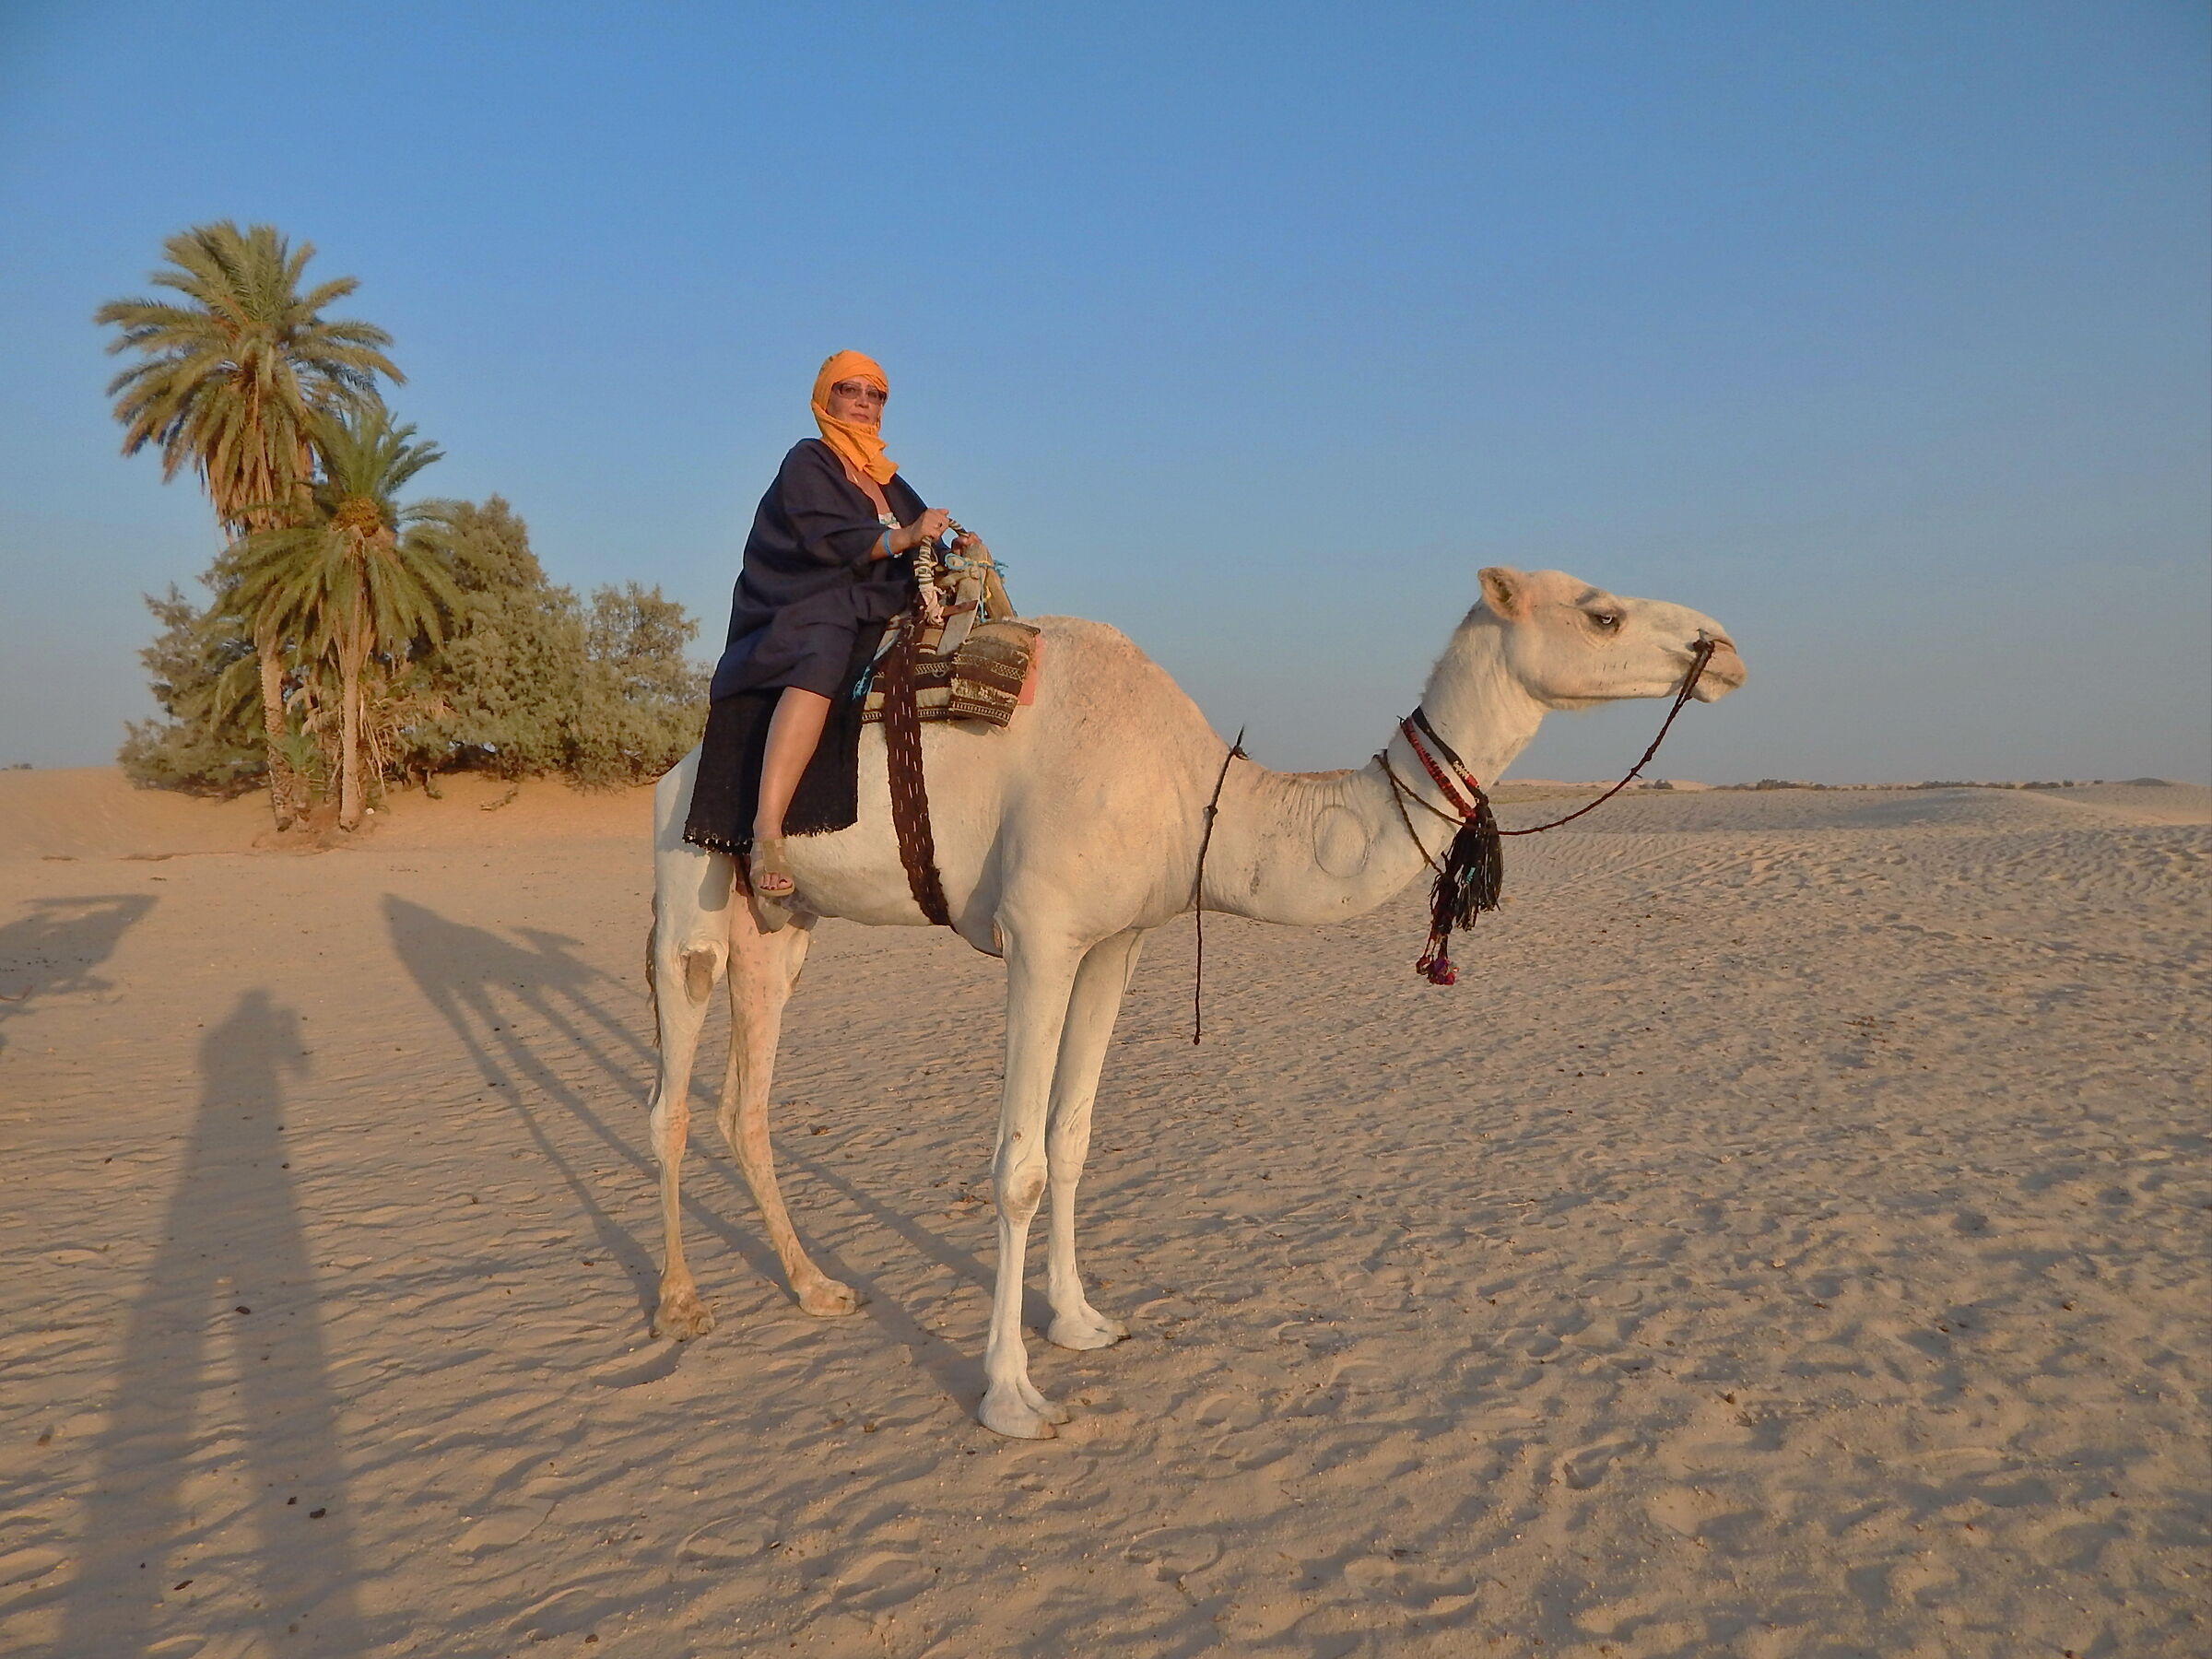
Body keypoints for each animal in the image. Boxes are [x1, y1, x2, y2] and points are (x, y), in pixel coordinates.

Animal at [644, 565, 1744, 1438]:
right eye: (1602, 614)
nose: (1724, 647)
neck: (1196, 798)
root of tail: (672, 767)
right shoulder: (1040, 938)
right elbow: (1018, 1168)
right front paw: (1011, 1395)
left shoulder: (1116, 942)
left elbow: (1074, 1138)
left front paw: (1080, 1322)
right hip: (689, 887)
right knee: (672, 1094)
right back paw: (680, 1305)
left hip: (784, 922)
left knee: (746, 1100)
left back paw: (816, 1287)